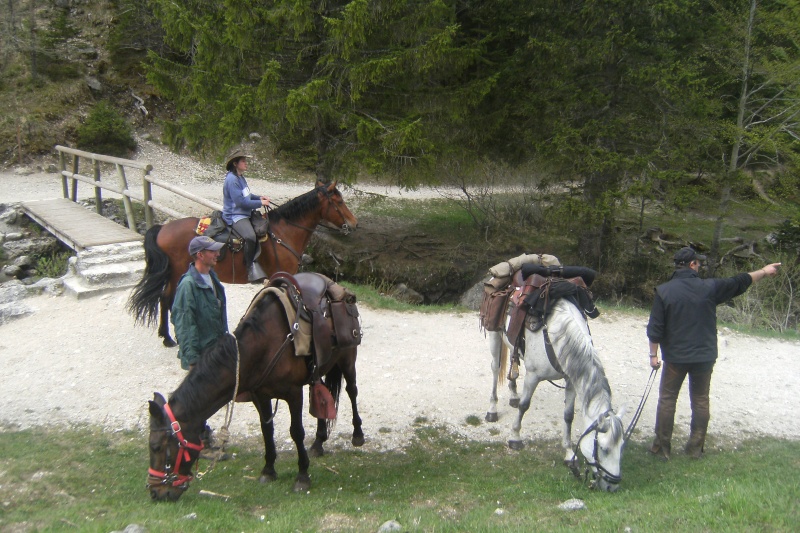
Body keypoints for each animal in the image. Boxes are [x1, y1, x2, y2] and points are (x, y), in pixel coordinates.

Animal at [127, 180, 356, 344]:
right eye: (339, 202)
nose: (354, 223)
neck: (284, 232)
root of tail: (162, 228)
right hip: (175, 274)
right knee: (166, 299)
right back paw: (167, 338)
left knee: (164, 299)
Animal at [145, 274, 364, 498]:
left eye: (157, 447)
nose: (155, 492)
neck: (264, 344)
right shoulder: (260, 395)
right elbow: (267, 430)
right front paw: (268, 470)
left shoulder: (293, 393)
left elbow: (296, 432)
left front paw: (302, 475)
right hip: (318, 370)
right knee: (321, 395)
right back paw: (319, 442)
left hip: (347, 360)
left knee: (351, 391)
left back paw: (357, 434)